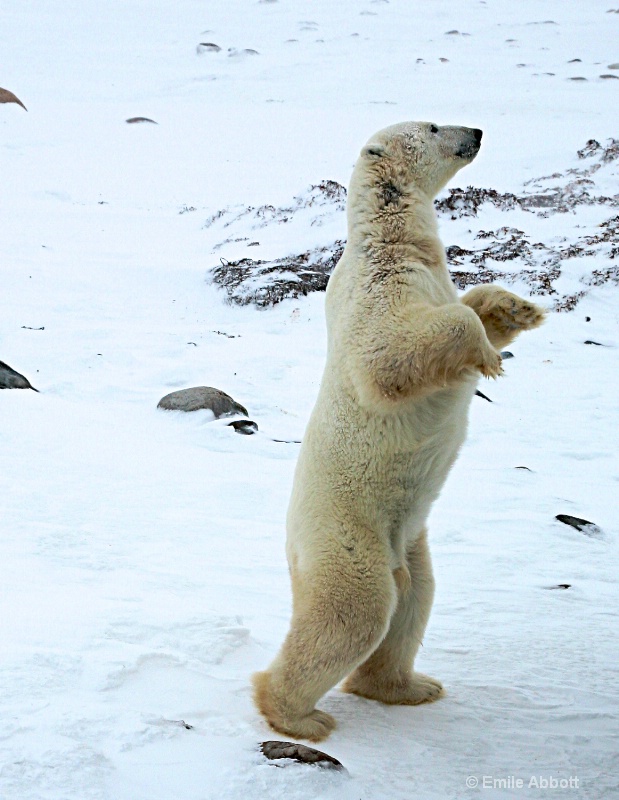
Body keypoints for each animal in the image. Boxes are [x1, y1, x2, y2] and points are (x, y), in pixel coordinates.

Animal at [252, 120, 544, 744]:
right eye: (433, 125)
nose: (476, 130)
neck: (391, 242)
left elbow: (468, 307)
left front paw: (518, 311)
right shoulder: (377, 288)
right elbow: (389, 351)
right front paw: (490, 357)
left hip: (409, 537)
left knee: (415, 600)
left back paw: (408, 686)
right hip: (346, 534)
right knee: (356, 611)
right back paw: (298, 714)